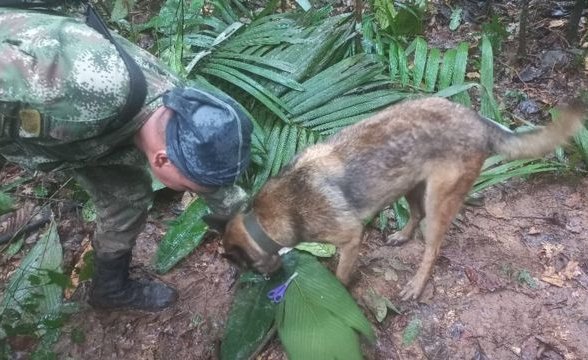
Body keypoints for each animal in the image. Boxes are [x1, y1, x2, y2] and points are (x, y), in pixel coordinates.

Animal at [220, 97, 584, 300]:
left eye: (243, 266)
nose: (267, 280)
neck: (266, 218)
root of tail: (478, 120)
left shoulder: (350, 239)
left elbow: (340, 275)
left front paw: (338, 292)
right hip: (410, 184)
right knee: (416, 214)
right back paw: (401, 235)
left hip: (439, 201)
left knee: (432, 248)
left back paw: (417, 285)